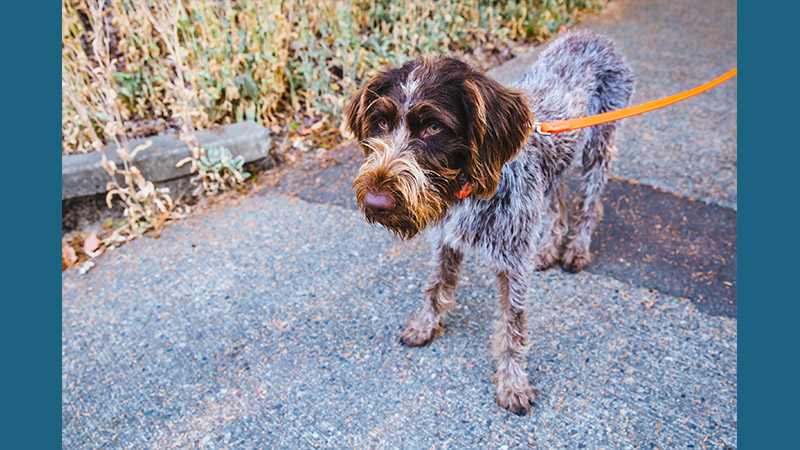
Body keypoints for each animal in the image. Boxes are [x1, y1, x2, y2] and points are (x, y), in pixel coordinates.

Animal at [346, 33, 636, 416]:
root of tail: (594, 37)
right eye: (381, 122)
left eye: (433, 127)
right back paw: (548, 248)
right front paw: (425, 326)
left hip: (599, 143)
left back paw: (575, 248)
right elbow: (437, 287)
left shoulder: (513, 265)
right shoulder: (446, 240)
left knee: (588, 203)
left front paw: (512, 383)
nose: (376, 203)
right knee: (556, 196)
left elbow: (513, 327)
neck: (466, 190)